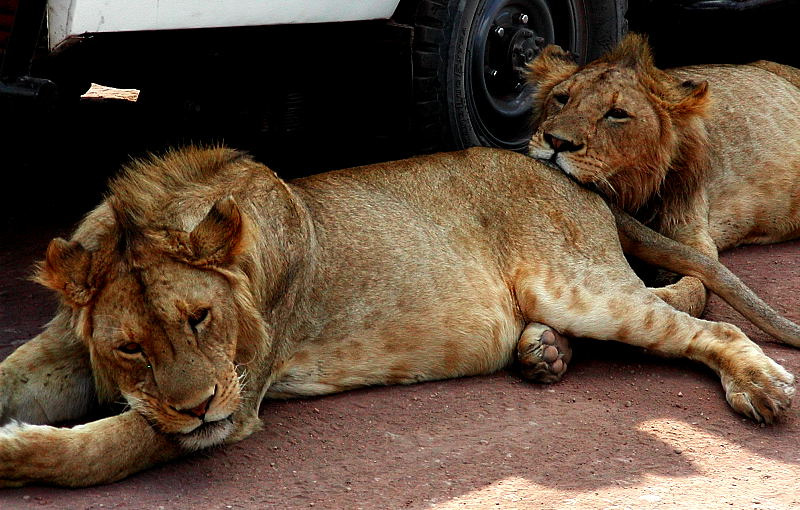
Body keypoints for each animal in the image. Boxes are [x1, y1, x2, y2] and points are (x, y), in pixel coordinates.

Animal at [0, 146, 797, 487]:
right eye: (130, 348)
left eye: (200, 318)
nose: (195, 405)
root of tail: (568, 176)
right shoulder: (60, 350)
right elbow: (15, 375)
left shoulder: (236, 402)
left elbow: (103, 450)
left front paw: (16, 453)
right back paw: (542, 353)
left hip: (580, 286)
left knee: (708, 322)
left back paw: (761, 387)